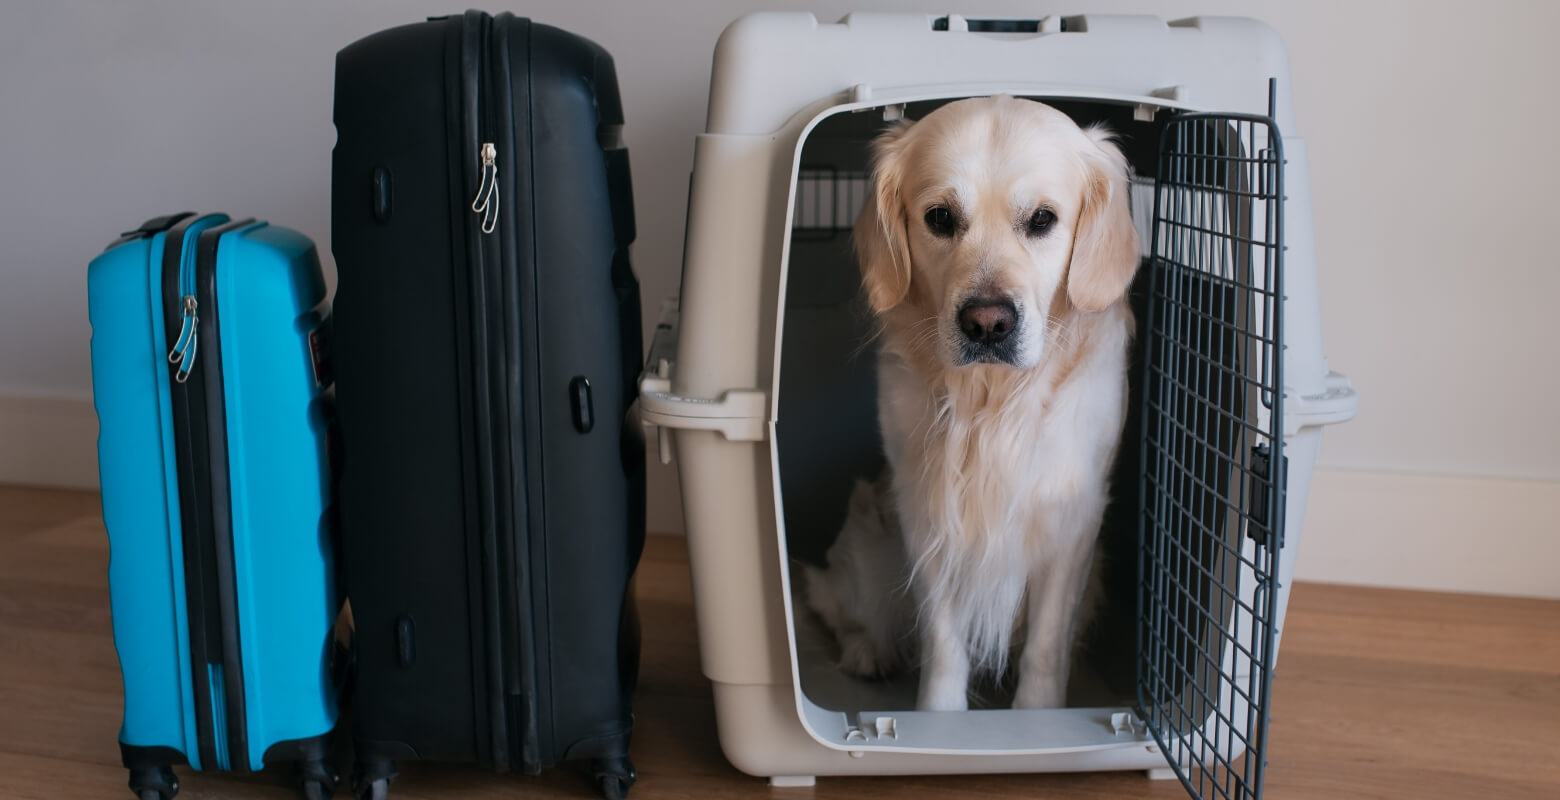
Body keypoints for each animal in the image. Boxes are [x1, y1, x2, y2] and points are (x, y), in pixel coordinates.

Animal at [798, 95, 1141, 711]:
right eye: (939, 218)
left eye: (1043, 220)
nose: (988, 323)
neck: (992, 397)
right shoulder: (927, 509)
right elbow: (942, 640)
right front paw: (939, 719)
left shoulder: (1072, 518)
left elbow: (1046, 645)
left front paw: (1037, 717)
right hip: (868, 549)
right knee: (840, 607)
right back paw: (867, 653)